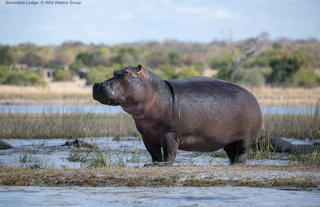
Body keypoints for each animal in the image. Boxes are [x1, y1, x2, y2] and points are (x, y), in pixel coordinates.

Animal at [92, 64, 262, 165]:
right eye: (114, 72)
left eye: (126, 73)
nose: (98, 84)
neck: (154, 91)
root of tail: (253, 97)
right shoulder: (146, 135)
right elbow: (154, 152)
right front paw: (153, 164)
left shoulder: (171, 133)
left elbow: (170, 151)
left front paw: (163, 164)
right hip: (228, 140)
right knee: (232, 153)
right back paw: (231, 164)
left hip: (246, 138)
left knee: (242, 153)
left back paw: (238, 163)